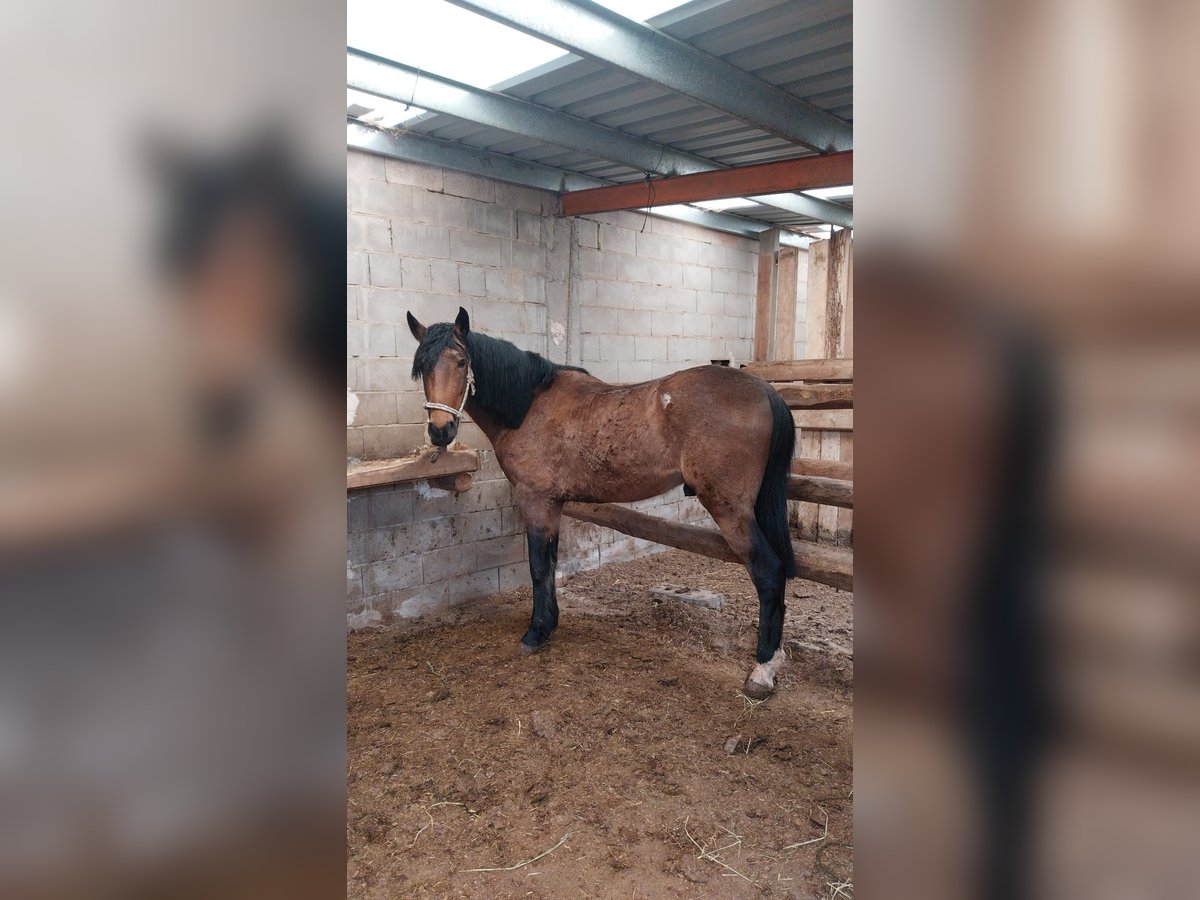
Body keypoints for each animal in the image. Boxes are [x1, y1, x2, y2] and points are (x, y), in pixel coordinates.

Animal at [405, 309, 796, 696]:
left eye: (461, 361)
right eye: (422, 365)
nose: (440, 431)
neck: (529, 406)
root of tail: (764, 390)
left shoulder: (536, 500)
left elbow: (537, 567)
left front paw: (535, 633)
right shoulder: (553, 504)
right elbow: (550, 563)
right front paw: (549, 624)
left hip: (730, 509)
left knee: (768, 571)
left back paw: (762, 668)